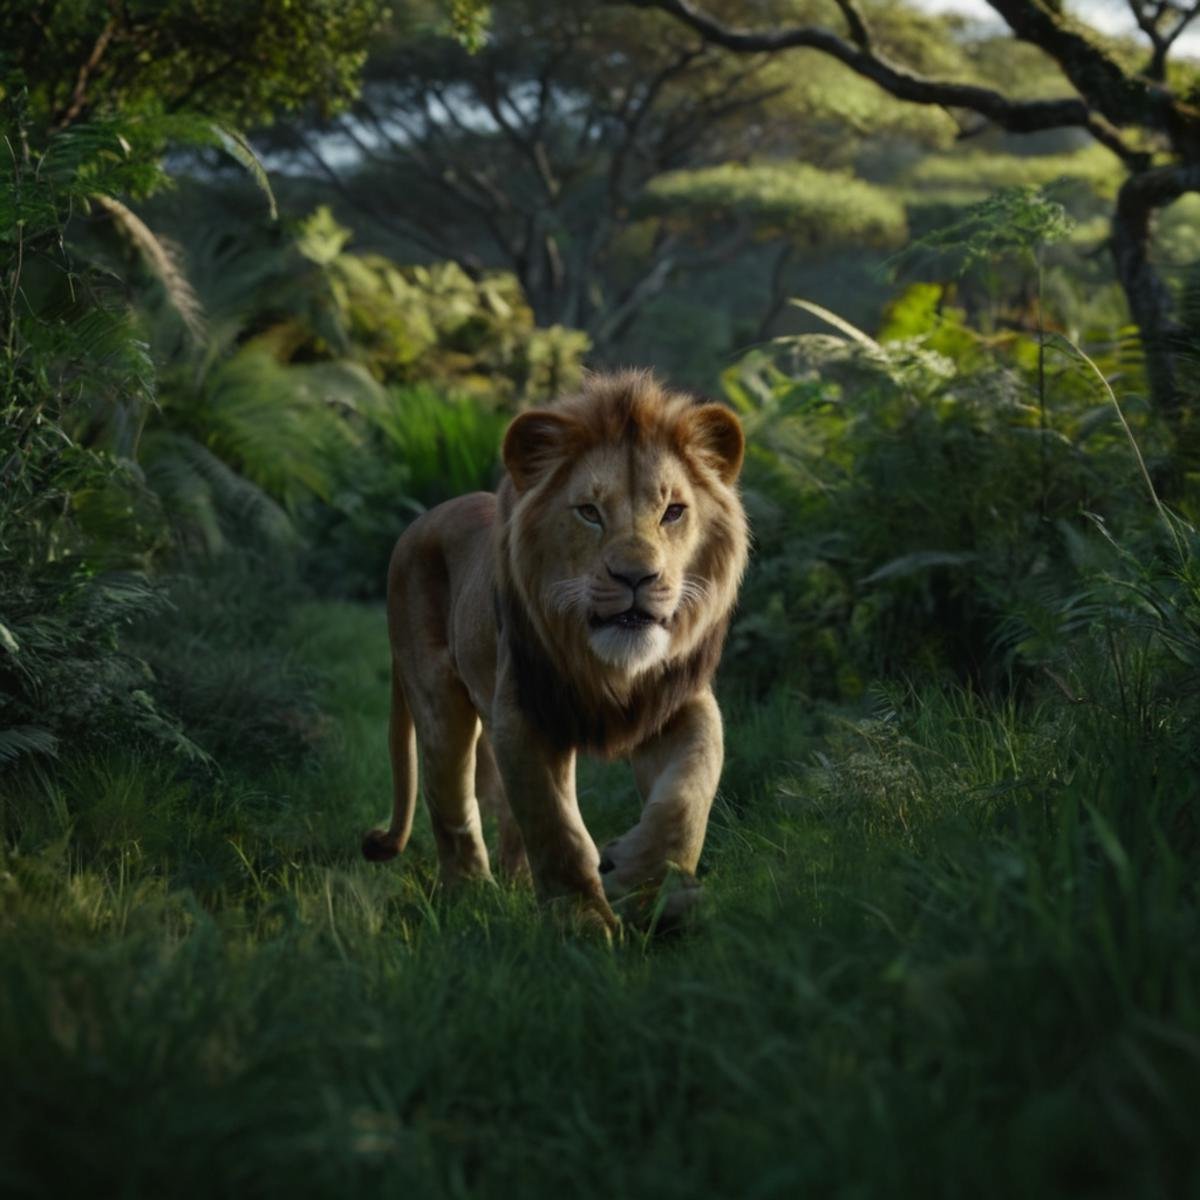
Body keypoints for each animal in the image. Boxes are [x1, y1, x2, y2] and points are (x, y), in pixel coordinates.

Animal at [362, 370, 748, 930]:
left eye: (673, 511)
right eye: (589, 512)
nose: (637, 577)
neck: (608, 667)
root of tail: (419, 522)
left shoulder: (677, 704)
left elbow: (687, 796)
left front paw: (642, 881)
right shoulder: (526, 714)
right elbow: (556, 826)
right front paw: (582, 924)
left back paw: (521, 886)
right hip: (439, 703)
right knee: (452, 802)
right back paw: (472, 897)